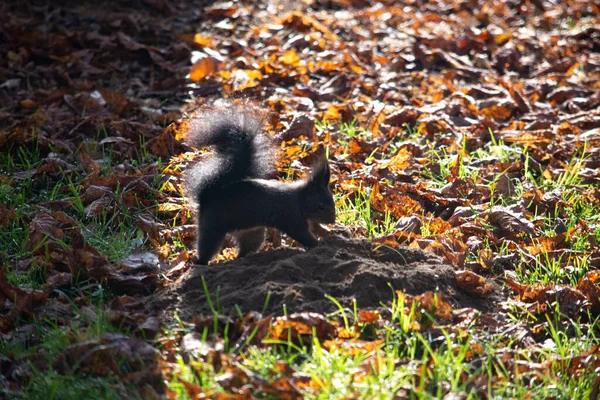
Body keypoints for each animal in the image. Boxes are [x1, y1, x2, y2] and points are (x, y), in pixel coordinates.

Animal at [185, 104, 336, 264]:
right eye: (320, 206)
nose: (332, 220)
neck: (300, 199)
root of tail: (207, 197)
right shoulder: (291, 216)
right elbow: (301, 234)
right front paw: (316, 244)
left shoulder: (308, 219)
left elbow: (316, 228)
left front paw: (330, 233)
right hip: (212, 227)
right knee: (207, 246)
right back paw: (201, 262)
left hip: (251, 233)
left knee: (246, 248)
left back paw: (243, 259)